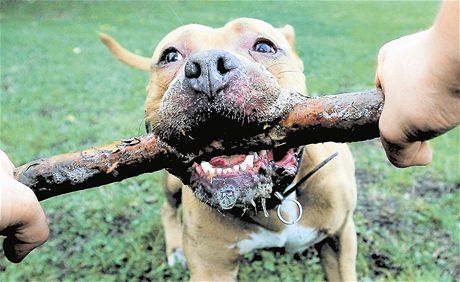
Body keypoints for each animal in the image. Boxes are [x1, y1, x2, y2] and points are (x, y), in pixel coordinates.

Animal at [100, 18, 358, 280]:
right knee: (167, 209)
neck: (272, 201)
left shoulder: (341, 238)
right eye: (170, 55)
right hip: (170, 185)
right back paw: (174, 249)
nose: (207, 67)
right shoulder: (211, 268)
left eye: (264, 46)